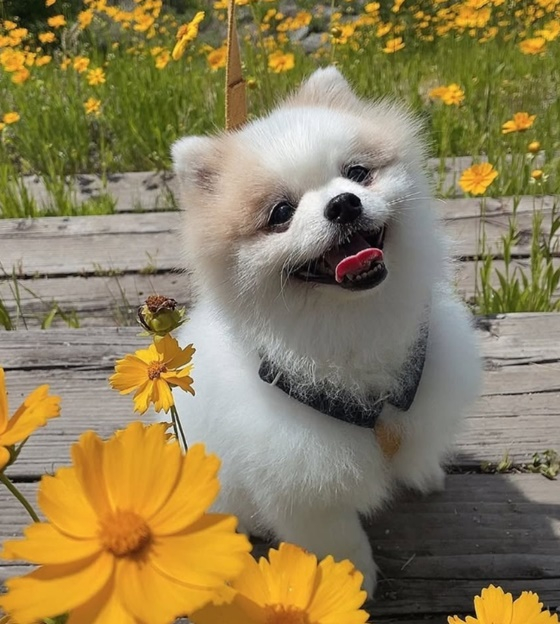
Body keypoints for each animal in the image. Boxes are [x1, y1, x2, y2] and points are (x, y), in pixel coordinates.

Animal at [170, 67, 482, 595]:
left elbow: (418, 442)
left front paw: (421, 471)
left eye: (357, 173)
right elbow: (337, 536)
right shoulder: (303, 480)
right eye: (280, 213)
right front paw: (350, 579)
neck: (353, 320)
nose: (343, 205)